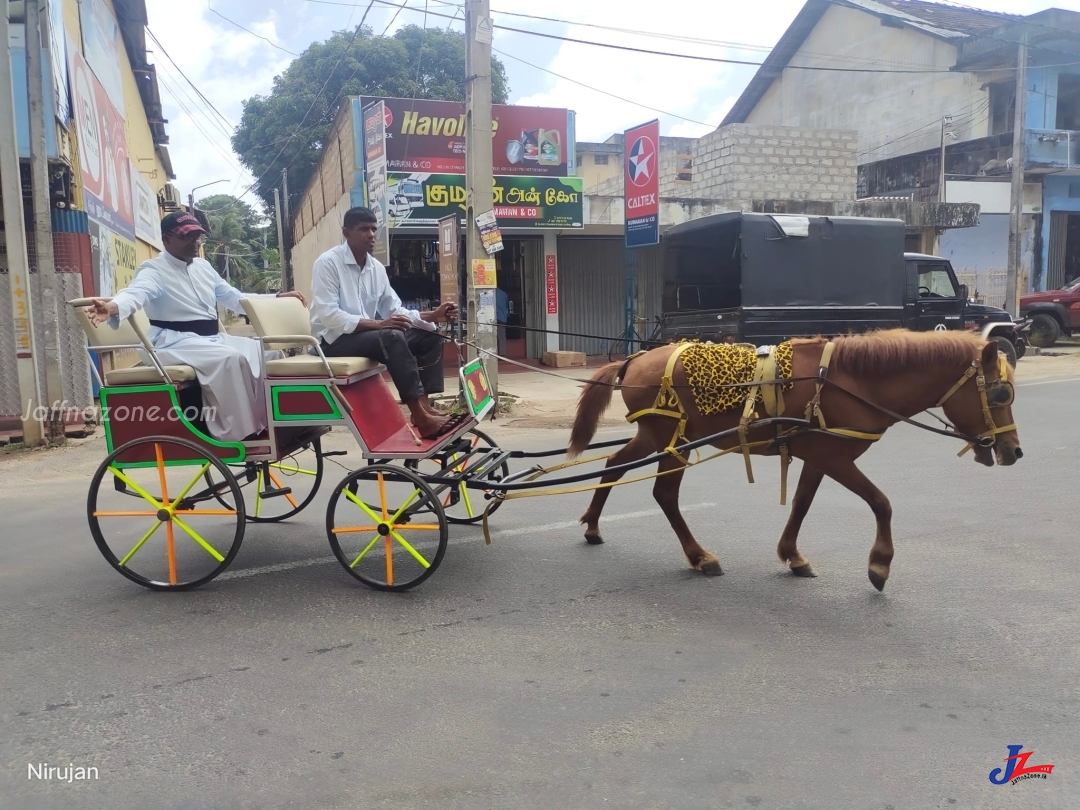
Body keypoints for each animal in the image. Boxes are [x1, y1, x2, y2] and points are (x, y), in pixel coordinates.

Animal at [565, 328, 1019, 591]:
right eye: (1001, 394)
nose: (1014, 451)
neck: (852, 381)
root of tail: (634, 359)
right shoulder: (835, 457)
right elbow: (881, 502)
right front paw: (880, 564)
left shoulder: (817, 454)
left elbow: (802, 503)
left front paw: (792, 555)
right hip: (673, 438)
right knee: (663, 494)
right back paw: (699, 556)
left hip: (656, 434)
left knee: (616, 463)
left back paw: (593, 525)